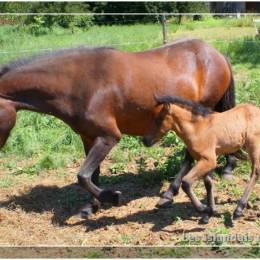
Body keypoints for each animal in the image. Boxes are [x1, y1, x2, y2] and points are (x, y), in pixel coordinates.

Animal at [0, 38, 236, 217]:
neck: (79, 83)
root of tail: (217, 54)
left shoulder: (109, 136)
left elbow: (83, 175)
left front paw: (112, 197)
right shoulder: (88, 137)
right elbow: (92, 174)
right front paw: (90, 207)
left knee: (189, 154)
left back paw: (169, 193)